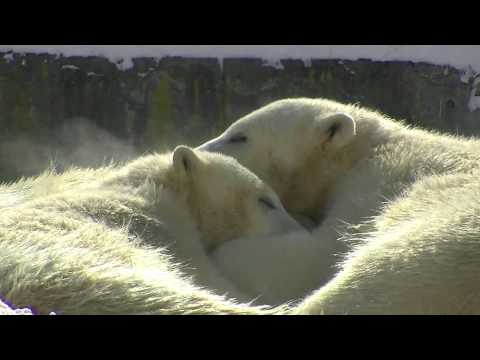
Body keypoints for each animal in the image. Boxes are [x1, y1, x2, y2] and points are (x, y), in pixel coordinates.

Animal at [202, 97, 480, 312]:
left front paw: (223, 255)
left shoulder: (373, 185)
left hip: (440, 251)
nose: (200, 149)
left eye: (239, 137)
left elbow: (320, 253)